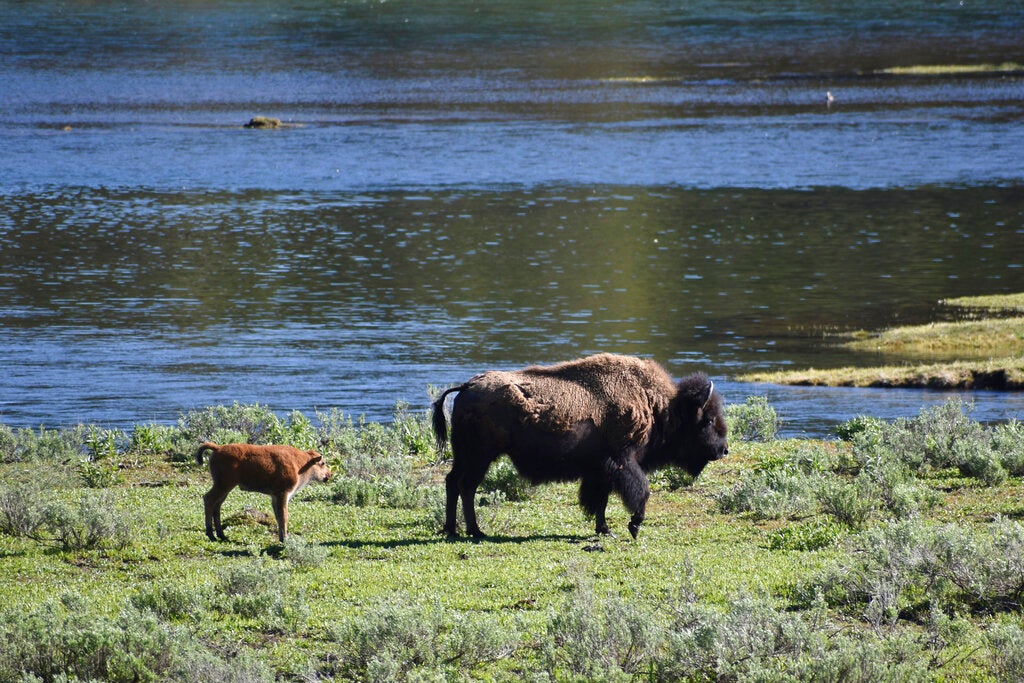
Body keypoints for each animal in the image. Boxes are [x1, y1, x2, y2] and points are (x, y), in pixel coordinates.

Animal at [194, 444, 331, 544]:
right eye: (323, 463)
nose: (329, 474)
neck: (302, 463)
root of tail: (218, 448)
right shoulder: (283, 494)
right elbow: (284, 516)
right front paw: (285, 539)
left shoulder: (275, 497)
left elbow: (278, 517)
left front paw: (281, 538)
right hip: (223, 485)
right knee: (209, 499)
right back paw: (211, 535)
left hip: (226, 488)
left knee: (217, 505)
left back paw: (221, 535)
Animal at [432, 352, 729, 540]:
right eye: (708, 419)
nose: (724, 450)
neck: (660, 407)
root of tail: (467, 386)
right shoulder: (622, 462)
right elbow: (640, 492)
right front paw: (633, 526)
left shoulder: (600, 471)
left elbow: (601, 500)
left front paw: (605, 530)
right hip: (479, 457)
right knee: (466, 486)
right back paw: (474, 531)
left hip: (466, 456)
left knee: (453, 482)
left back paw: (452, 529)